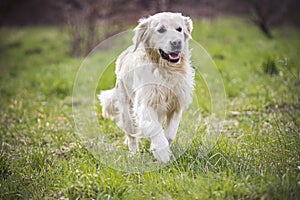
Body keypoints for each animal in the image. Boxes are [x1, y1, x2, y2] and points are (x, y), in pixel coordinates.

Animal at [98, 12, 195, 162]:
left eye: (179, 29)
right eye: (161, 30)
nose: (177, 42)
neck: (166, 70)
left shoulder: (176, 106)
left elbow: (169, 134)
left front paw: (159, 149)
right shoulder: (145, 106)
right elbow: (155, 130)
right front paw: (163, 154)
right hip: (127, 113)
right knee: (131, 138)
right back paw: (134, 155)